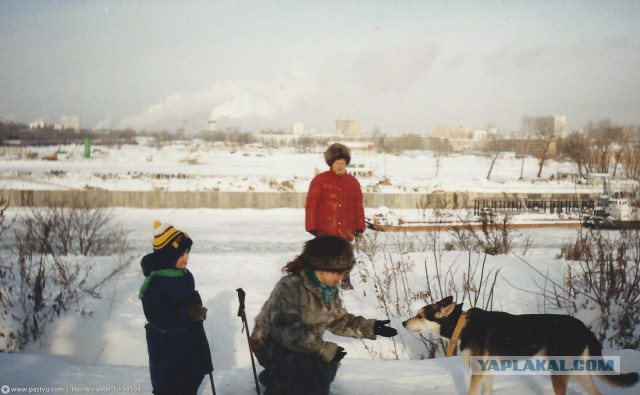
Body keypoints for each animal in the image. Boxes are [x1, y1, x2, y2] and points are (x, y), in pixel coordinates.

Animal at [402, 296, 636, 395]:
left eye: (420, 315)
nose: (403, 323)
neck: (462, 325)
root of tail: (584, 328)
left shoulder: (477, 372)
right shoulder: (486, 371)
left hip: (559, 371)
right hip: (577, 370)